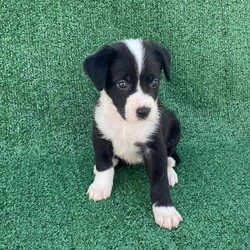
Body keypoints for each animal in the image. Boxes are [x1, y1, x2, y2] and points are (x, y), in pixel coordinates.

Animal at [83, 38, 183, 229]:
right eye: (122, 84)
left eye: (154, 82)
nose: (144, 111)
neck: (126, 123)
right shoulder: (100, 136)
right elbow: (103, 164)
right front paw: (100, 186)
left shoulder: (155, 146)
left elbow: (159, 180)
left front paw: (165, 210)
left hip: (175, 124)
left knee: (171, 156)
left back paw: (170, 171)